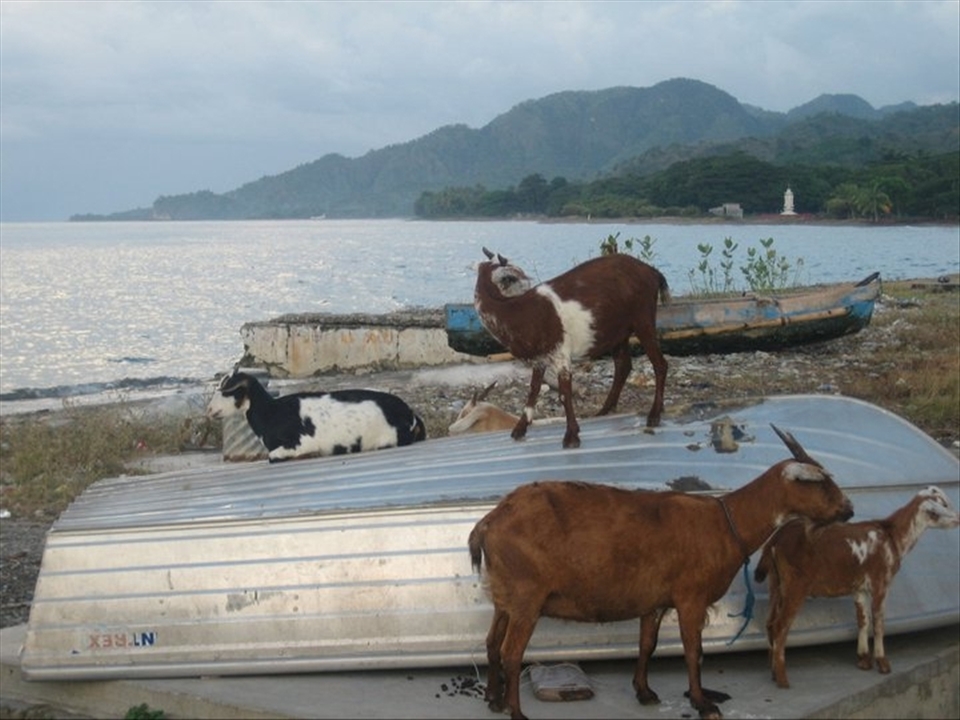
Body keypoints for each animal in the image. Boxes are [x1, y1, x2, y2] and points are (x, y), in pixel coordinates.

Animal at [206, 370, 426, 462]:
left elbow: (273, 456)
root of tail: (410, 414)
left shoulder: (299, 442)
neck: (272, 412)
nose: (209, 410)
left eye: (228, 390)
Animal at [468, 425, 853, 719]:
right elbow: (693, 650)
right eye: (819, 482)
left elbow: (647, 645)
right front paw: (702, 702)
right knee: (511, 652)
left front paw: (645, 692)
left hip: (505, 596)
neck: (726, 522)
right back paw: (517, 713)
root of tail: (488, 523)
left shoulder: (654, 602)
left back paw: (494, 701)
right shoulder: (690, 597)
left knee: (491, 643)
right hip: (527, 596)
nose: (848, 509)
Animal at [474, 247, 669, 449]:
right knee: (623, 365)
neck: (517, 313)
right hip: (618, 331)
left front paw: (571, 436)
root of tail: (653, 272)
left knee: (659, 364)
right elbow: (533, 390)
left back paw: (654, 415)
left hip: (643, 318)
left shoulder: (560, 353)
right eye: (512, 278)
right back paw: (604, 411)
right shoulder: (539, 358)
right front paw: (519, 430)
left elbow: (564, 394)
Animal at [754, 485, 959, 689]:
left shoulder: (860, 588)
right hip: (795, 585)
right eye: (939, 508)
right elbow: (878, 622)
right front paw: (883, 663)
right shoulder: (880, 583)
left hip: (776, 583)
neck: (892, 536)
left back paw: (773, 673)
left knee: (770, 623)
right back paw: (783, 679)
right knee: (780, 626)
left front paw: (863, 660)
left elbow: (863, 620)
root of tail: (775, 540)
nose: (957, 519)